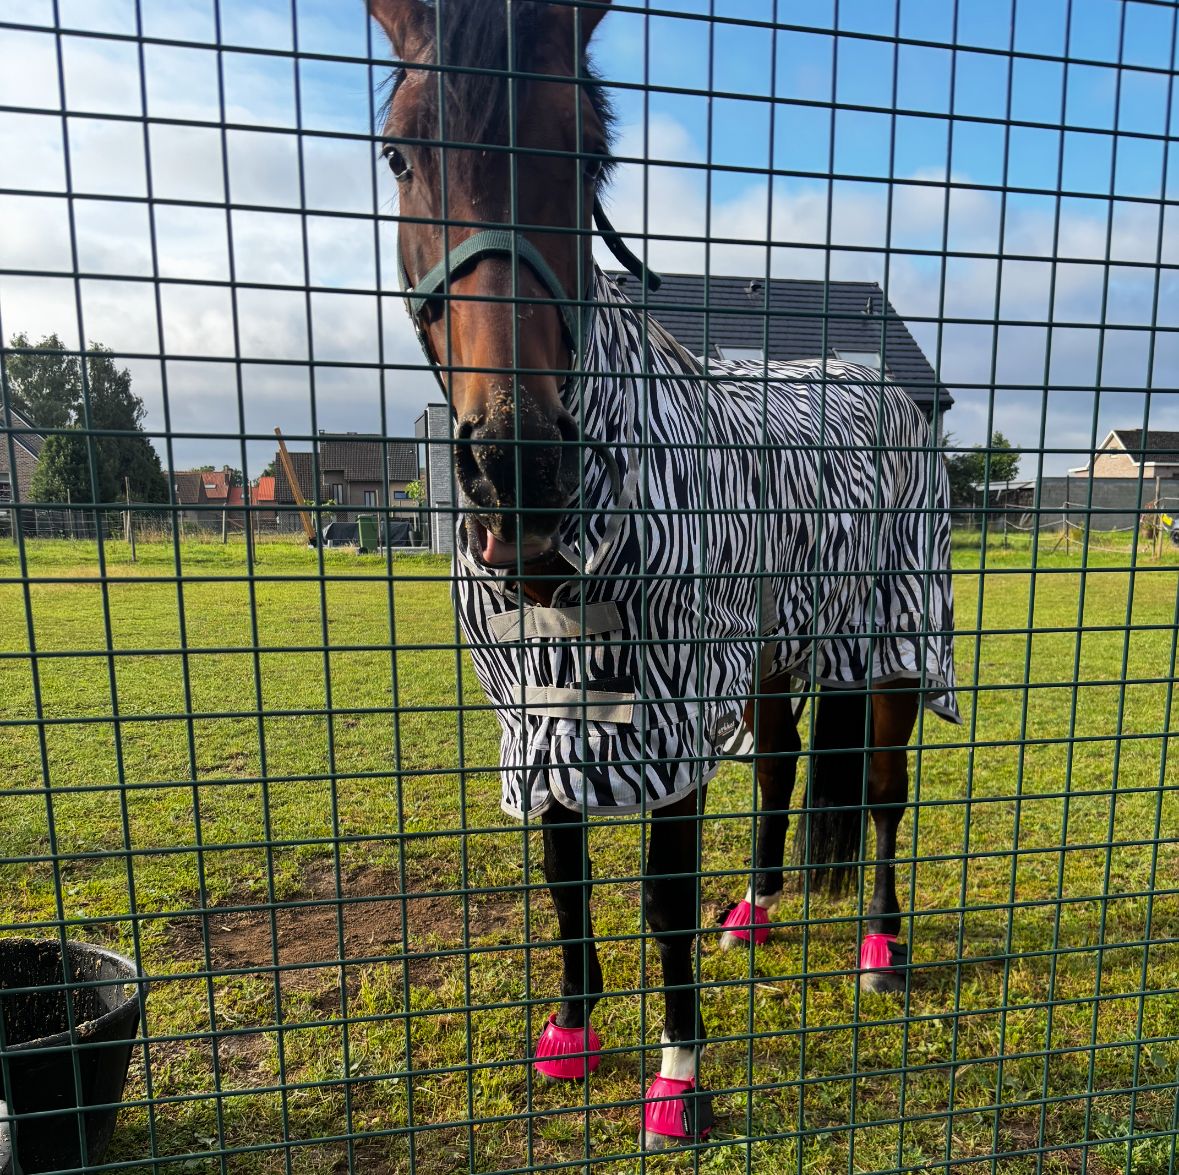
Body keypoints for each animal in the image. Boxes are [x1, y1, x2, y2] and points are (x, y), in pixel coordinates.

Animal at [368, 0, 959, 1151]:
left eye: (588, 156)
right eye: (400, 155)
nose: (518, 468)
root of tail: (879, 385)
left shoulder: (674, 714)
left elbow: (662, 895)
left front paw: (677, 1075)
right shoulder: (538, 717)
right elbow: (564, 876)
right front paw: (570, 1028)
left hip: (895, 643)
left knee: (879, 790)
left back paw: (880, 947)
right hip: (774, 654)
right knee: (779, 770)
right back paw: (759, 912)